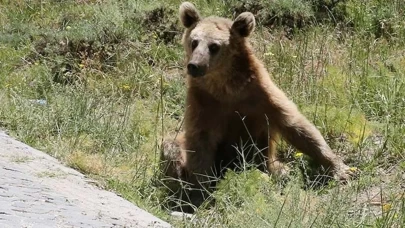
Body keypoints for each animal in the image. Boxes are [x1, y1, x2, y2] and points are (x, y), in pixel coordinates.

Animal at [159, 1, 352, 212]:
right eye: (194, 41)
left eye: (214, 46)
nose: (194, 65)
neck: (226, 88)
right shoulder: (204, 103)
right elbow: (200, 142)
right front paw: (200, 192)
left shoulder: (261, 96)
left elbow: (297, 126)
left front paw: (341, 168)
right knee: (170, 147)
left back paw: (280, 170)